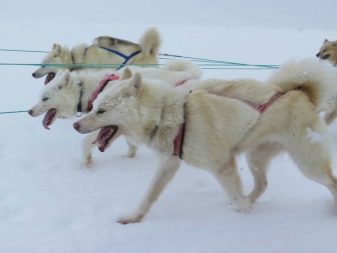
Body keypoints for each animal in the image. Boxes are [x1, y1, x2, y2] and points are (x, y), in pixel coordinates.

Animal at [28, 60, 200, 165]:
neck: (92, 90)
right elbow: (128, 142)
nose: (29, 111)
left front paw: (87, 160)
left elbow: (86, 142)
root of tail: (188, 75)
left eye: (45, 98)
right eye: (39, 97)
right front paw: (130, 155)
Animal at [73, 57, 336, 223]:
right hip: (255, 158)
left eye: (102, 111)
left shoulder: (223, 166)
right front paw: (133, 217)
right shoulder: (169, 163)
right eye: (94, 106)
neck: (171, 114)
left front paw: (243, 214)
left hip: (308, 164)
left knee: (331, 181)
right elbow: (149, 195)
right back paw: (249, 200)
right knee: (261, 185)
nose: (76, 125)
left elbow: (235, 195)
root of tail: (300, 94)